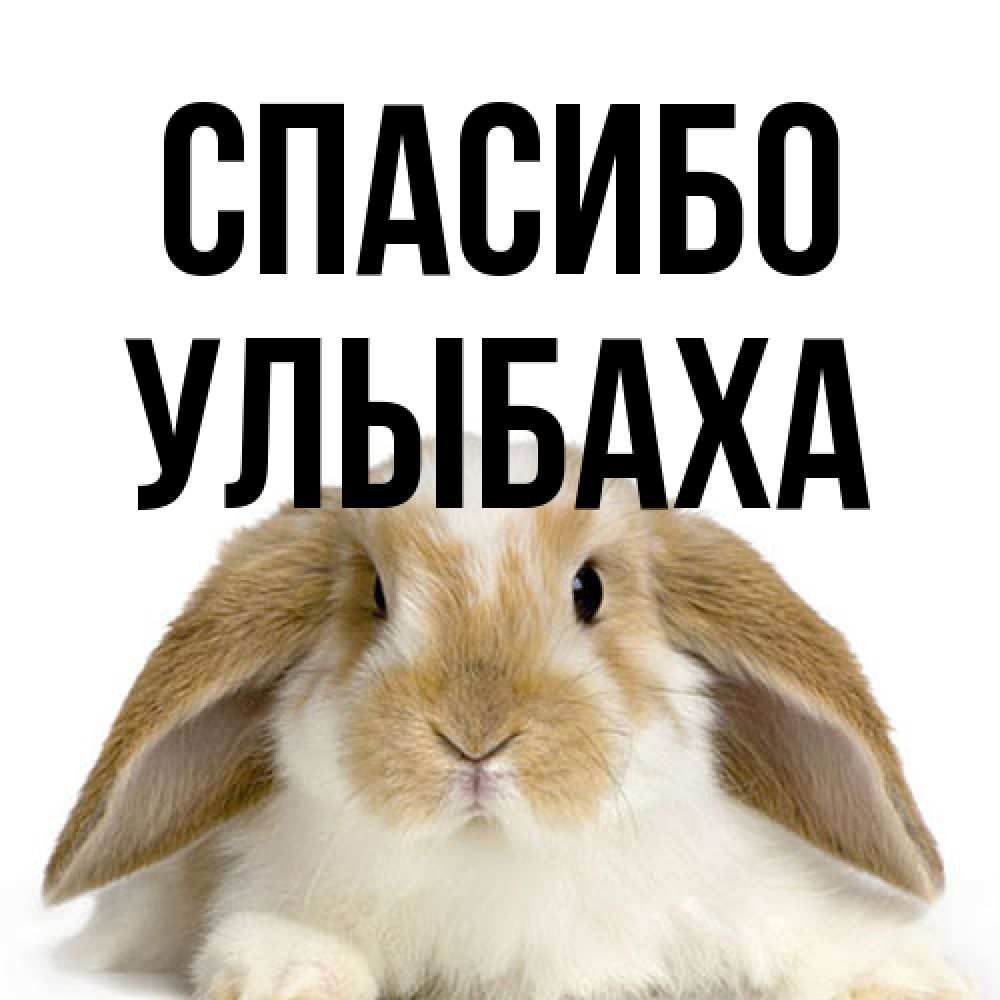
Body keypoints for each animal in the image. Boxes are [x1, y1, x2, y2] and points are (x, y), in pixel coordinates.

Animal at [45, 435, 975, 1000]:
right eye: (376, 596)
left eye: (589, 589)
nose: (475, 737)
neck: (495, 857)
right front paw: (291, 977)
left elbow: (818, 939)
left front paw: (910, 978)